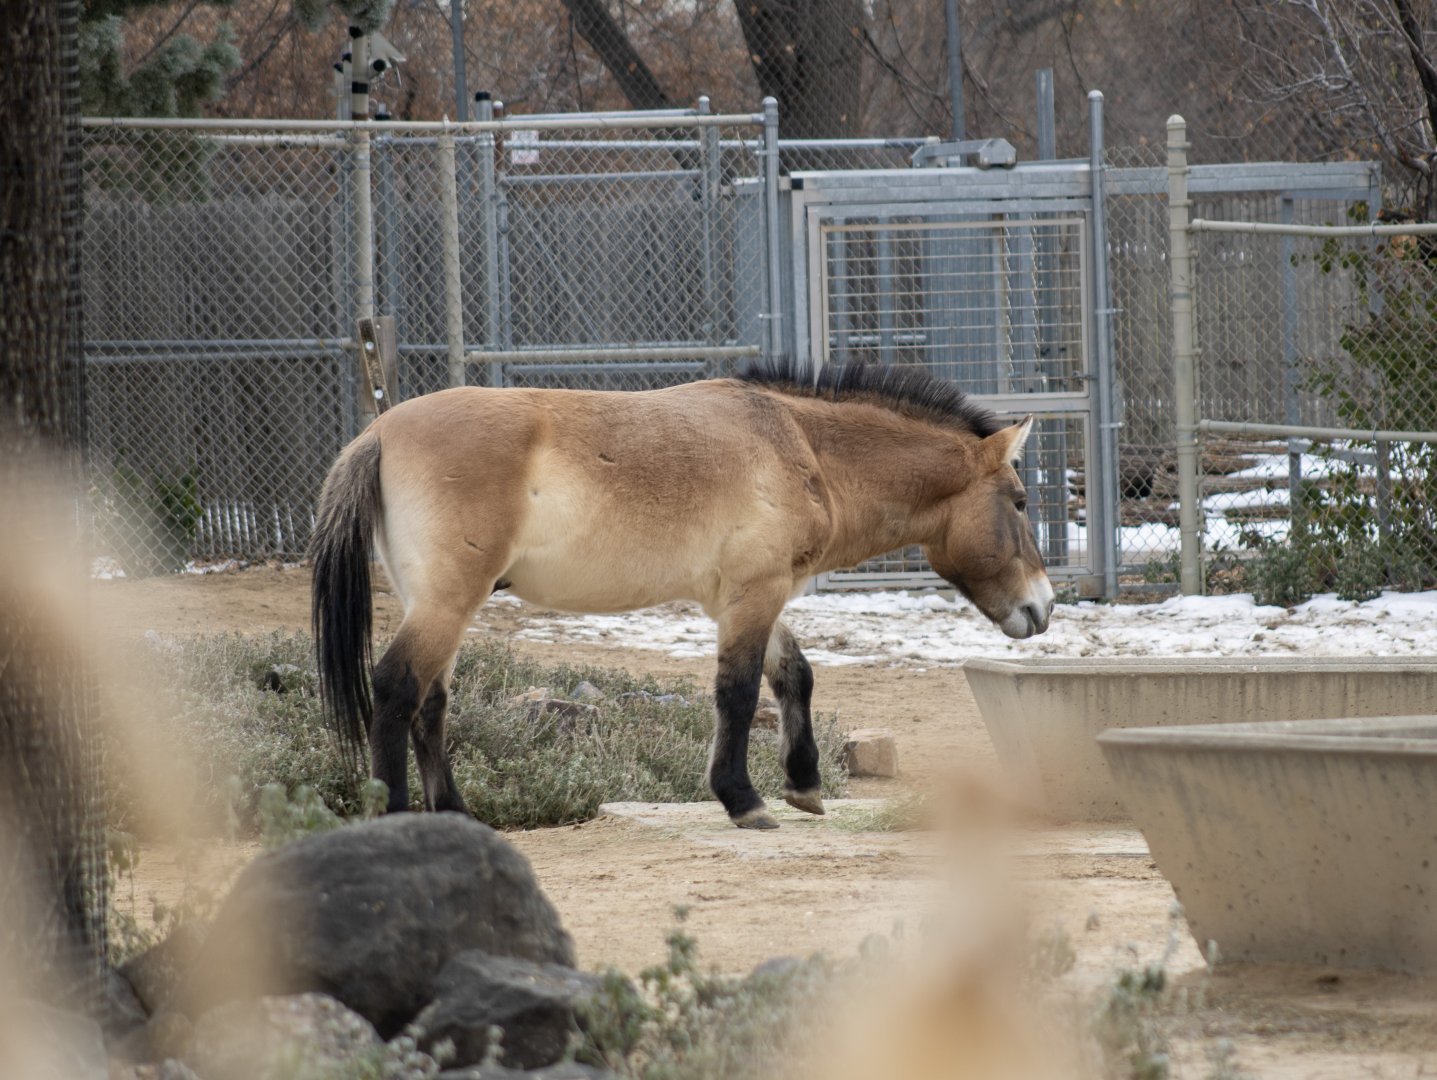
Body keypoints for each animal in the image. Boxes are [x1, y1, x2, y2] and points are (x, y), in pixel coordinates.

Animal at [310, 359, 1054, 830]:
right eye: (1020, 501)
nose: (1042, 608)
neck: (799, 444)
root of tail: (378, 431)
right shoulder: (756, 592)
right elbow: (739, 690)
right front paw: (744, 801)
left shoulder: (743, 596)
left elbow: (794, 676)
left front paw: (804, 785)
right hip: (446, 604)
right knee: (398, 687)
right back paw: (397, 818)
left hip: (440, 606)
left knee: (432, 702)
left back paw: (459, 819)